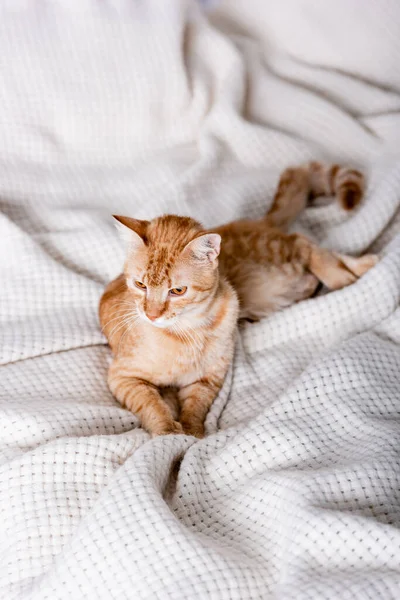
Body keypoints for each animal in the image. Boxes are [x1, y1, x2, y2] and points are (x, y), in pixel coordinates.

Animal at [100, 162, 378, 438]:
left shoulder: (209, 378)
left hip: (278, 254)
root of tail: (257, 222)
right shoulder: (123, 377)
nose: (152, 314)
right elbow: (151, 404)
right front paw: (168, 431)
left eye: (177, 291)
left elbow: (195, 407)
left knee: (306, 244)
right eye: (140, 285)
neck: (191, 330)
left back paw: (349, 272)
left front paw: (192, 432)